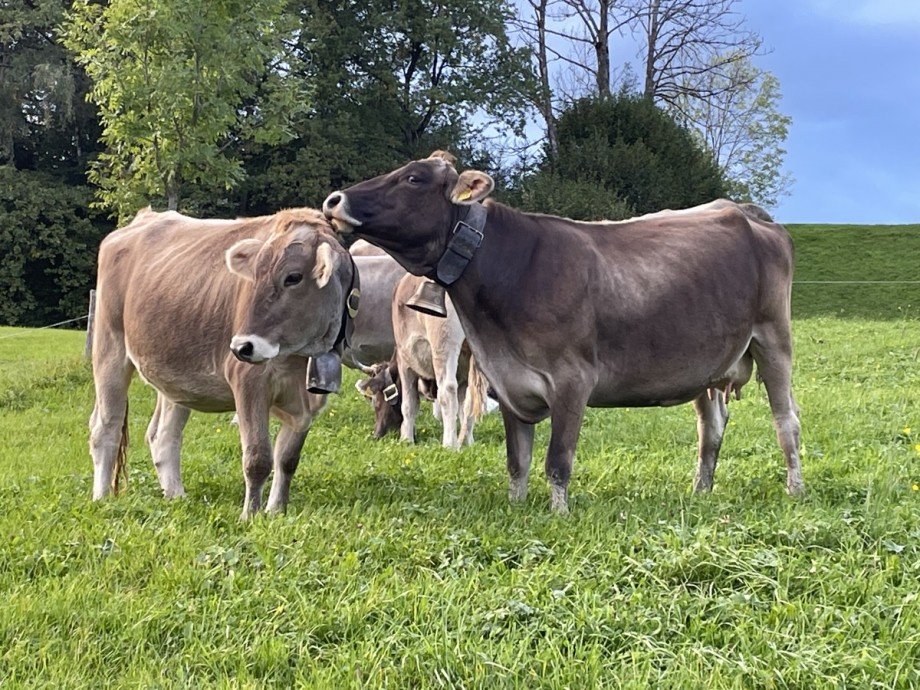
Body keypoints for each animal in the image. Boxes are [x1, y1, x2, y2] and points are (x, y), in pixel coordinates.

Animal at [89, 207, 355, 519]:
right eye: (253, 277)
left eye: (293, 277)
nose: (241, 346)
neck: (297, 359)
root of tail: (144, 217)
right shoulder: (248, 380)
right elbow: (258, 457)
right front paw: (250, 516)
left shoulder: (306, 403)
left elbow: (287, 459)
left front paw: (276, 510)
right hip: (109, 347)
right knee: (106, 427)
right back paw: (102, 498)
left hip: (175, 375)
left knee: (162, 436)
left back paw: (176, 496)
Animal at [323, 152, 803, 513]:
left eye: (413, 178)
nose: (333, 200)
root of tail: (744, 210)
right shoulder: (507, 380)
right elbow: (517, 461)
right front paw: (517, 507)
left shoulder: (573, 379)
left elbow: (557, 460)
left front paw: (559, 513)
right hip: (706, 362)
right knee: (712, 426)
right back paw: (700, 490)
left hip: (773, 339)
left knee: (787, 421)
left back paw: (794, 490)